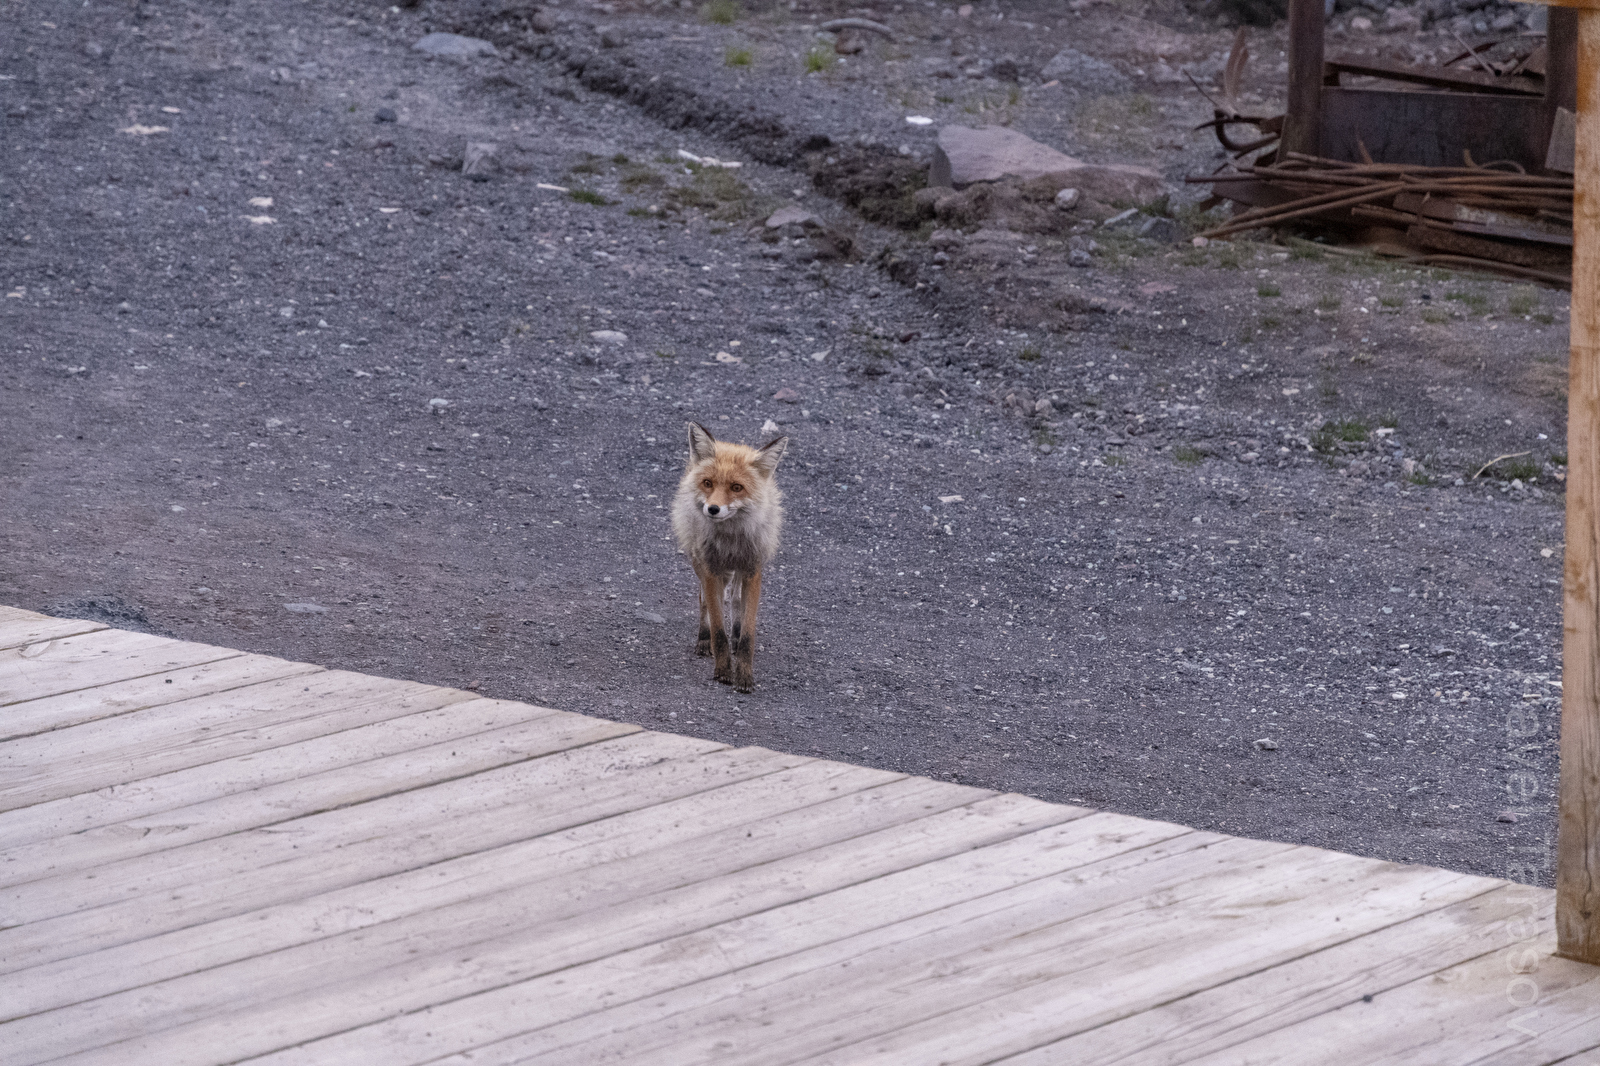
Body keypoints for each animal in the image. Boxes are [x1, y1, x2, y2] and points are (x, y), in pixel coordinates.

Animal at [668, 419, 787, 694]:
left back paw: (735, 632)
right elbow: (718, 630)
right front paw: (723, 671)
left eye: (736, 488)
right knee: (704, 600)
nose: (712, 509)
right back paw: (703, 639)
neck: (731, 541)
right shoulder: (711, 569)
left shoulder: (753, 570)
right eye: (708, 483)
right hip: (702, 564)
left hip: (738, 572)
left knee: (735, 600)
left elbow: (748, 635)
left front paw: (744, 675)